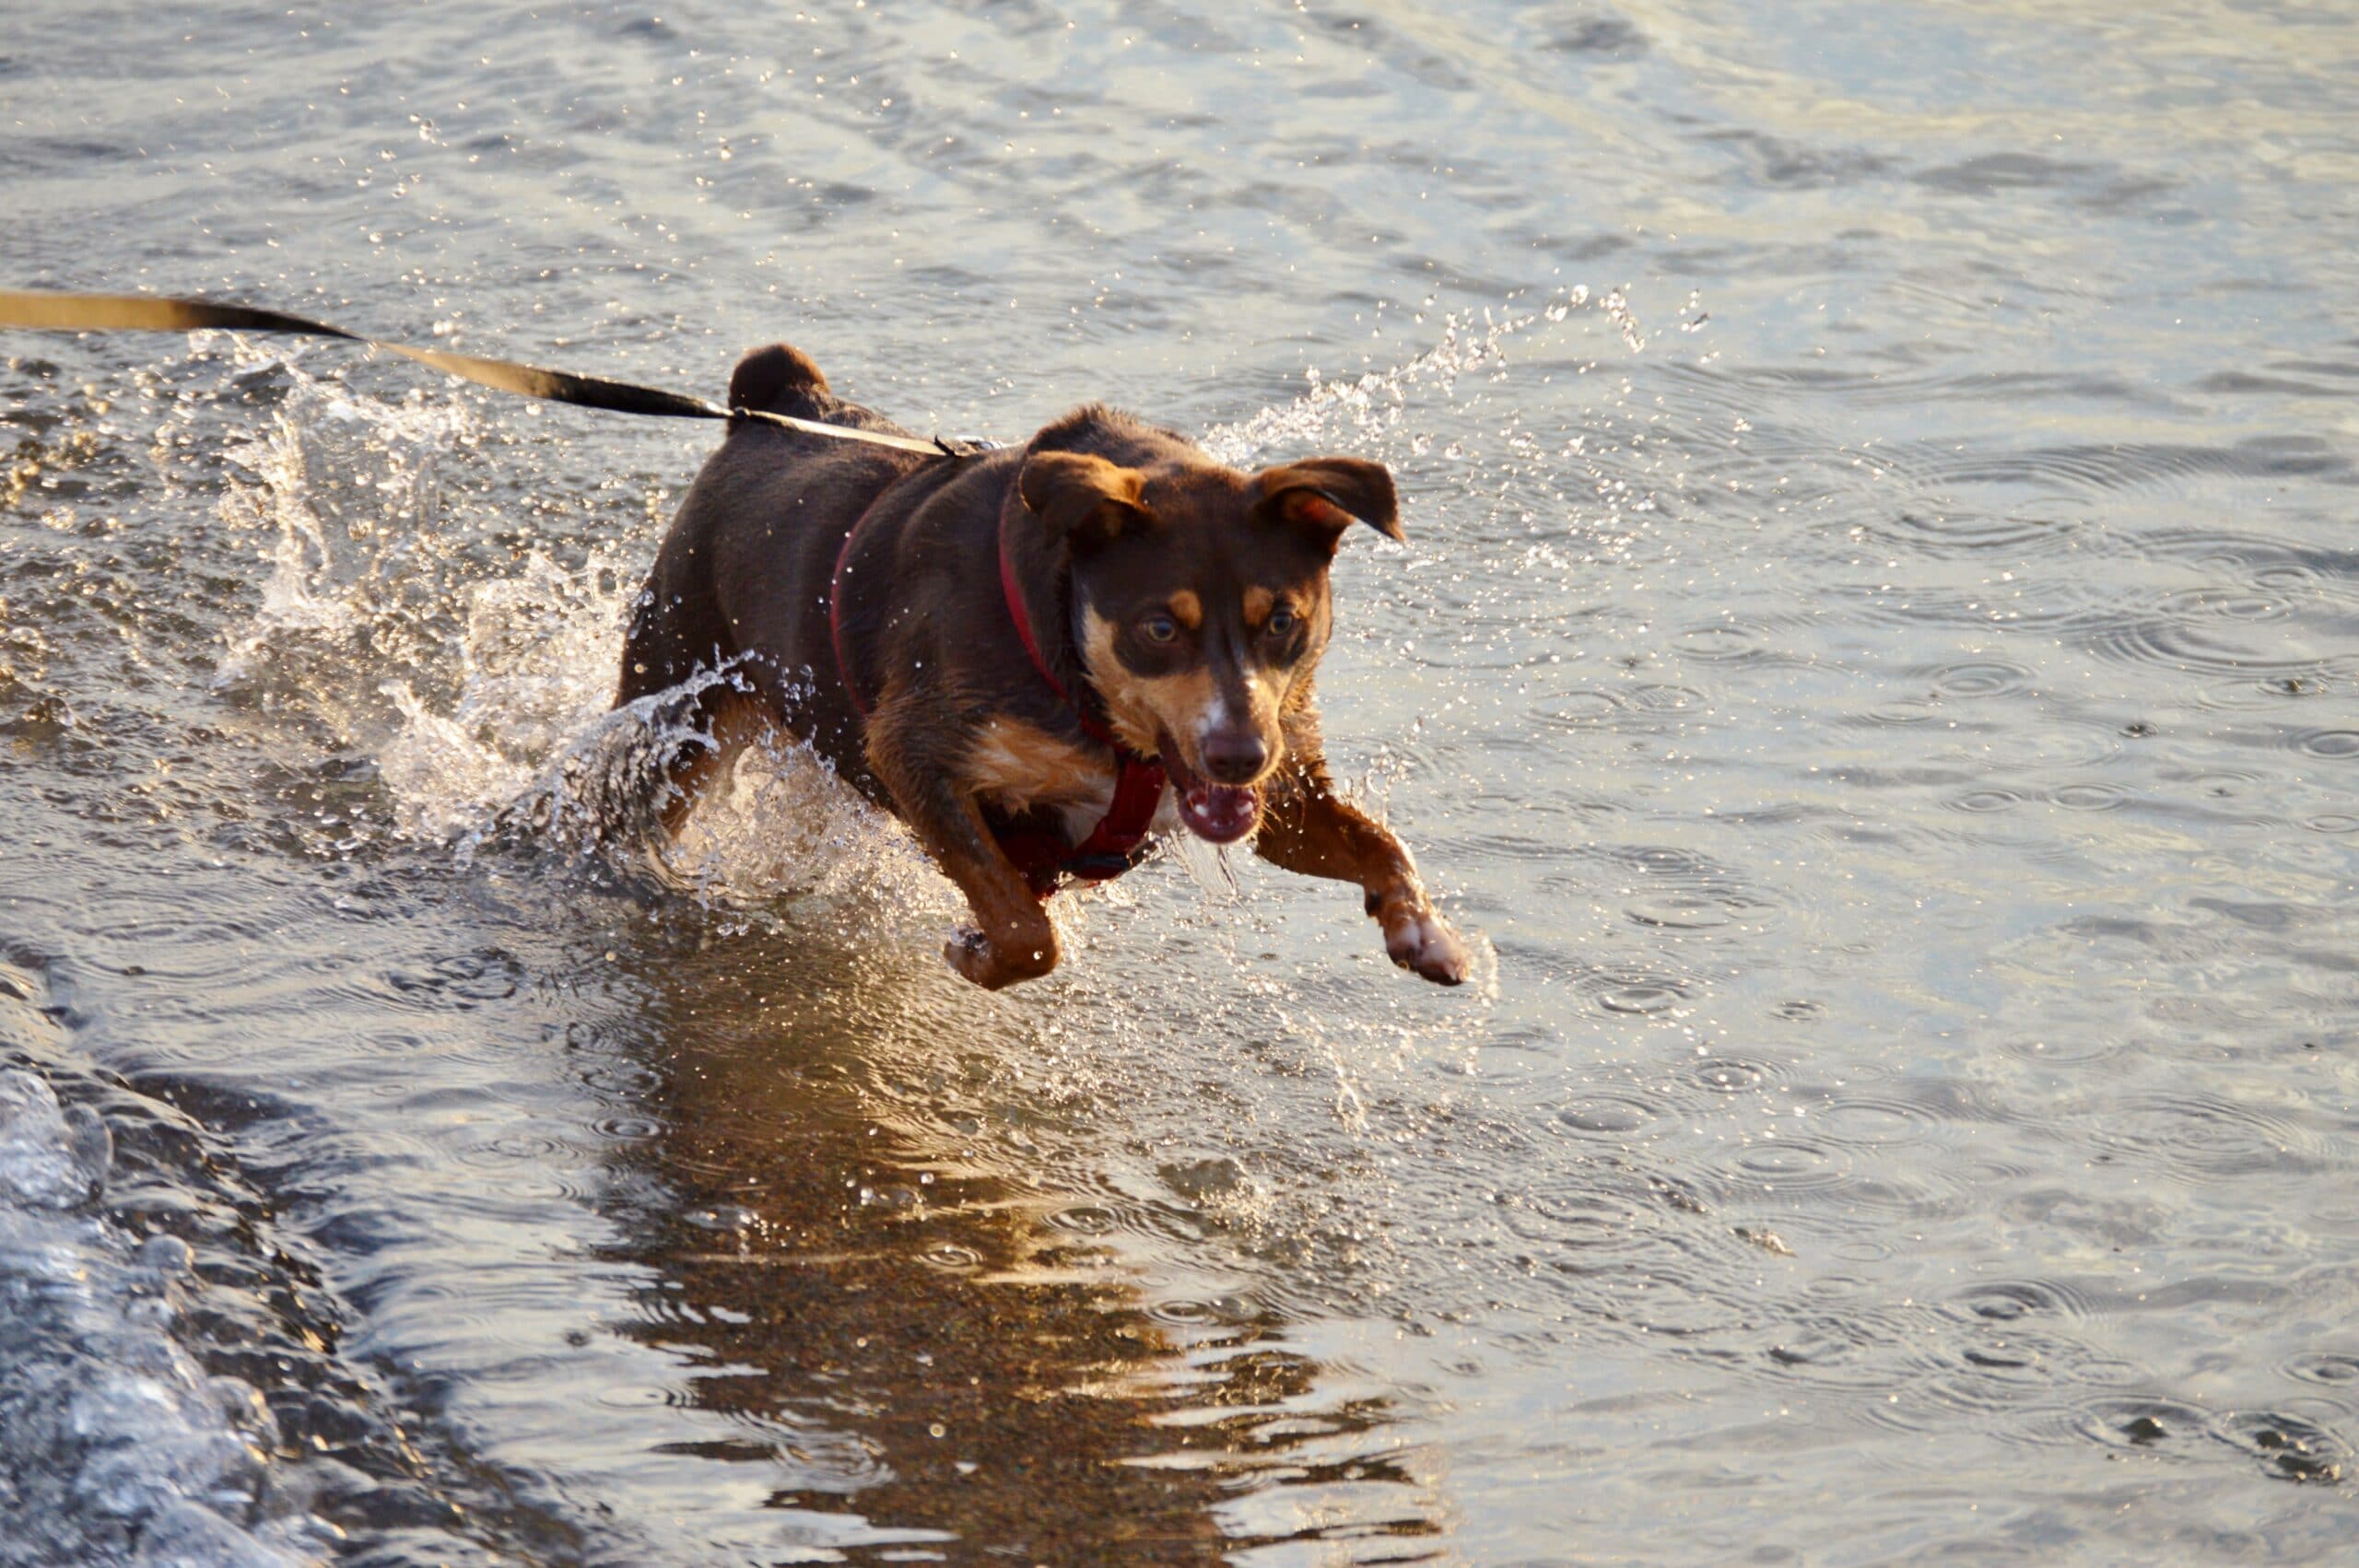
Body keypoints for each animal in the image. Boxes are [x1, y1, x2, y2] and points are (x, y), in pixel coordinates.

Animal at [622, 342, 1472, 985]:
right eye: (1158, 627)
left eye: (1284, 621)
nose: (1238, 755)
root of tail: (772, 405)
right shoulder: (916, 749)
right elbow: (1025, 926)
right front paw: (976, 951)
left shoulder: (1280, 787)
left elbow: (1380, 845)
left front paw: (1426, 932)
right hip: (677, 703)